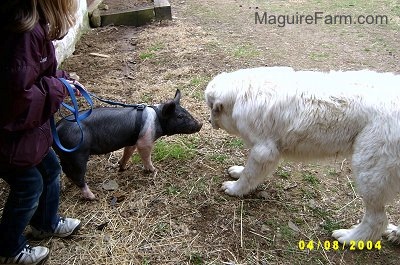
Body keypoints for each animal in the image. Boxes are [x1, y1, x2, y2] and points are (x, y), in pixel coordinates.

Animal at [205, 67, 400, 242]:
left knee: (377, 220)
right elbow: (247, 170)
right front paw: (237, 172)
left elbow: (249, 175)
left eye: (211, 108)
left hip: (369, 173)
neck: (242, 94)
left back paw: (351, 238)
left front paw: (235, 189)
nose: (208, 120)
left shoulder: (264, 151)